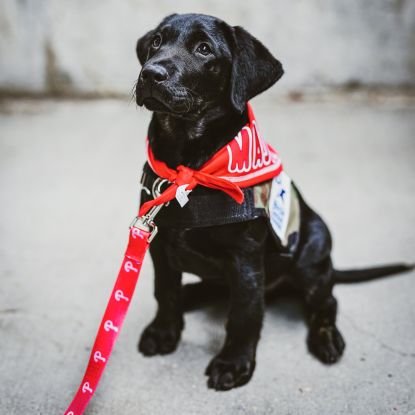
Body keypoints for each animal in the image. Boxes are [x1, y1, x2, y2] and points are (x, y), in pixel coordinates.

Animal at [135, 12, 414, 390]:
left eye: (204, 49)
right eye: (156, 42)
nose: (150, 73)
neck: (191, 167)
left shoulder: (245, 259)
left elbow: (244, 314)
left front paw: (234, 363)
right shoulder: (160, 245)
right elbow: (164, 292)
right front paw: (164, 331)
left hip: (313, 253)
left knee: (326, 301)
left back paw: (327, 337)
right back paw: (190, 295)